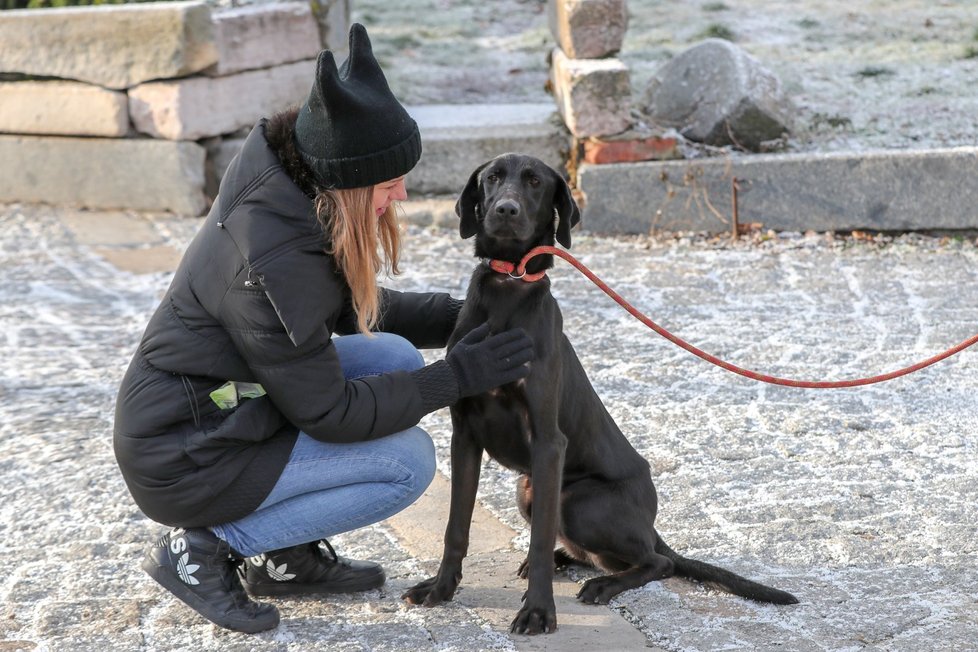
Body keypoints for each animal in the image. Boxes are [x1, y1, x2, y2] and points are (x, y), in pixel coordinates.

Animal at [400, 152, 796, 632]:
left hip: (578, 500)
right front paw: (439, 590)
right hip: (528, 488)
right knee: (584, 548)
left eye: (534, 182)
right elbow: (456, 526)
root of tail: (650, 526)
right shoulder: (464, 437)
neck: (509, 285)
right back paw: (561, 562)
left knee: (655, 562)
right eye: (492, 178)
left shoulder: (548, 442)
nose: (506, 210)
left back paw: (601, 584)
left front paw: (537, 611)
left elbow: (535, 537)